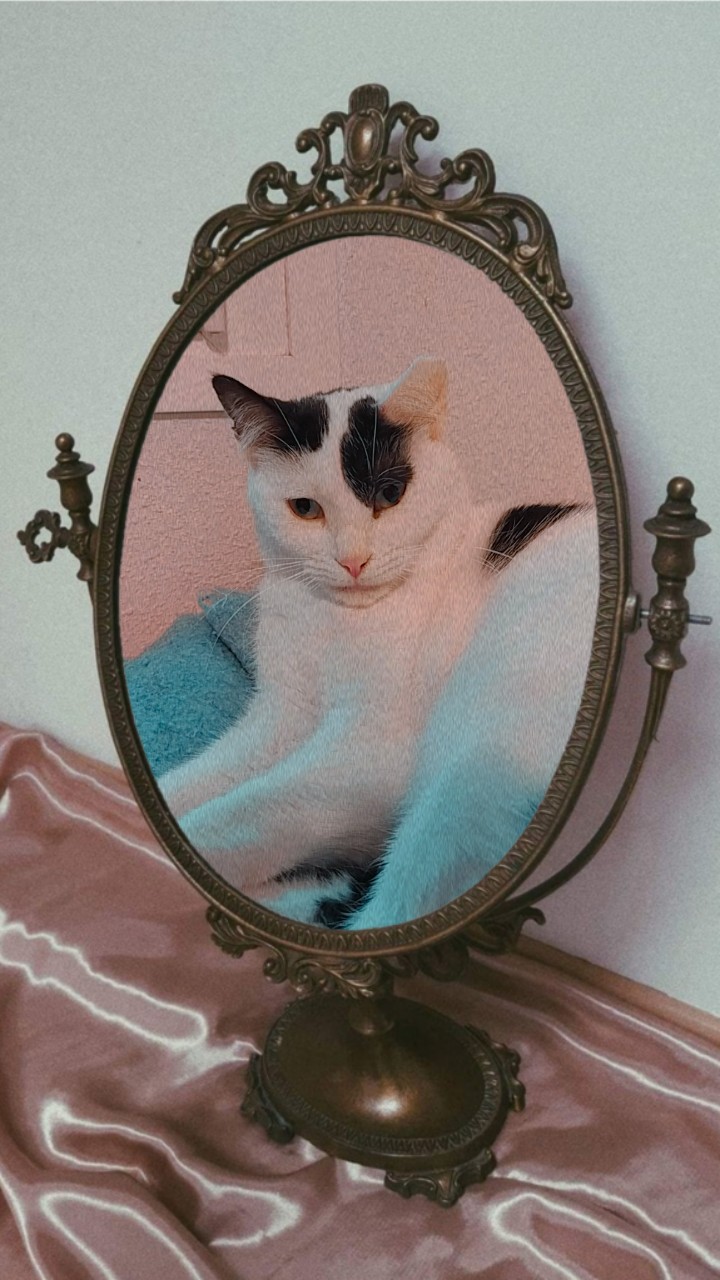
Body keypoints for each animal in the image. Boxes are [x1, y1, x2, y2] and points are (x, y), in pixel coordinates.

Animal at [158, 358, 597, 927]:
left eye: (390, 495)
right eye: (305, 508)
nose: (353, 561)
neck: (332, 621)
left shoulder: (372, 754)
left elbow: (238, 814)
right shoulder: (280, 717)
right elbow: (192, 783)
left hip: (476, 763)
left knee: (392, 909)